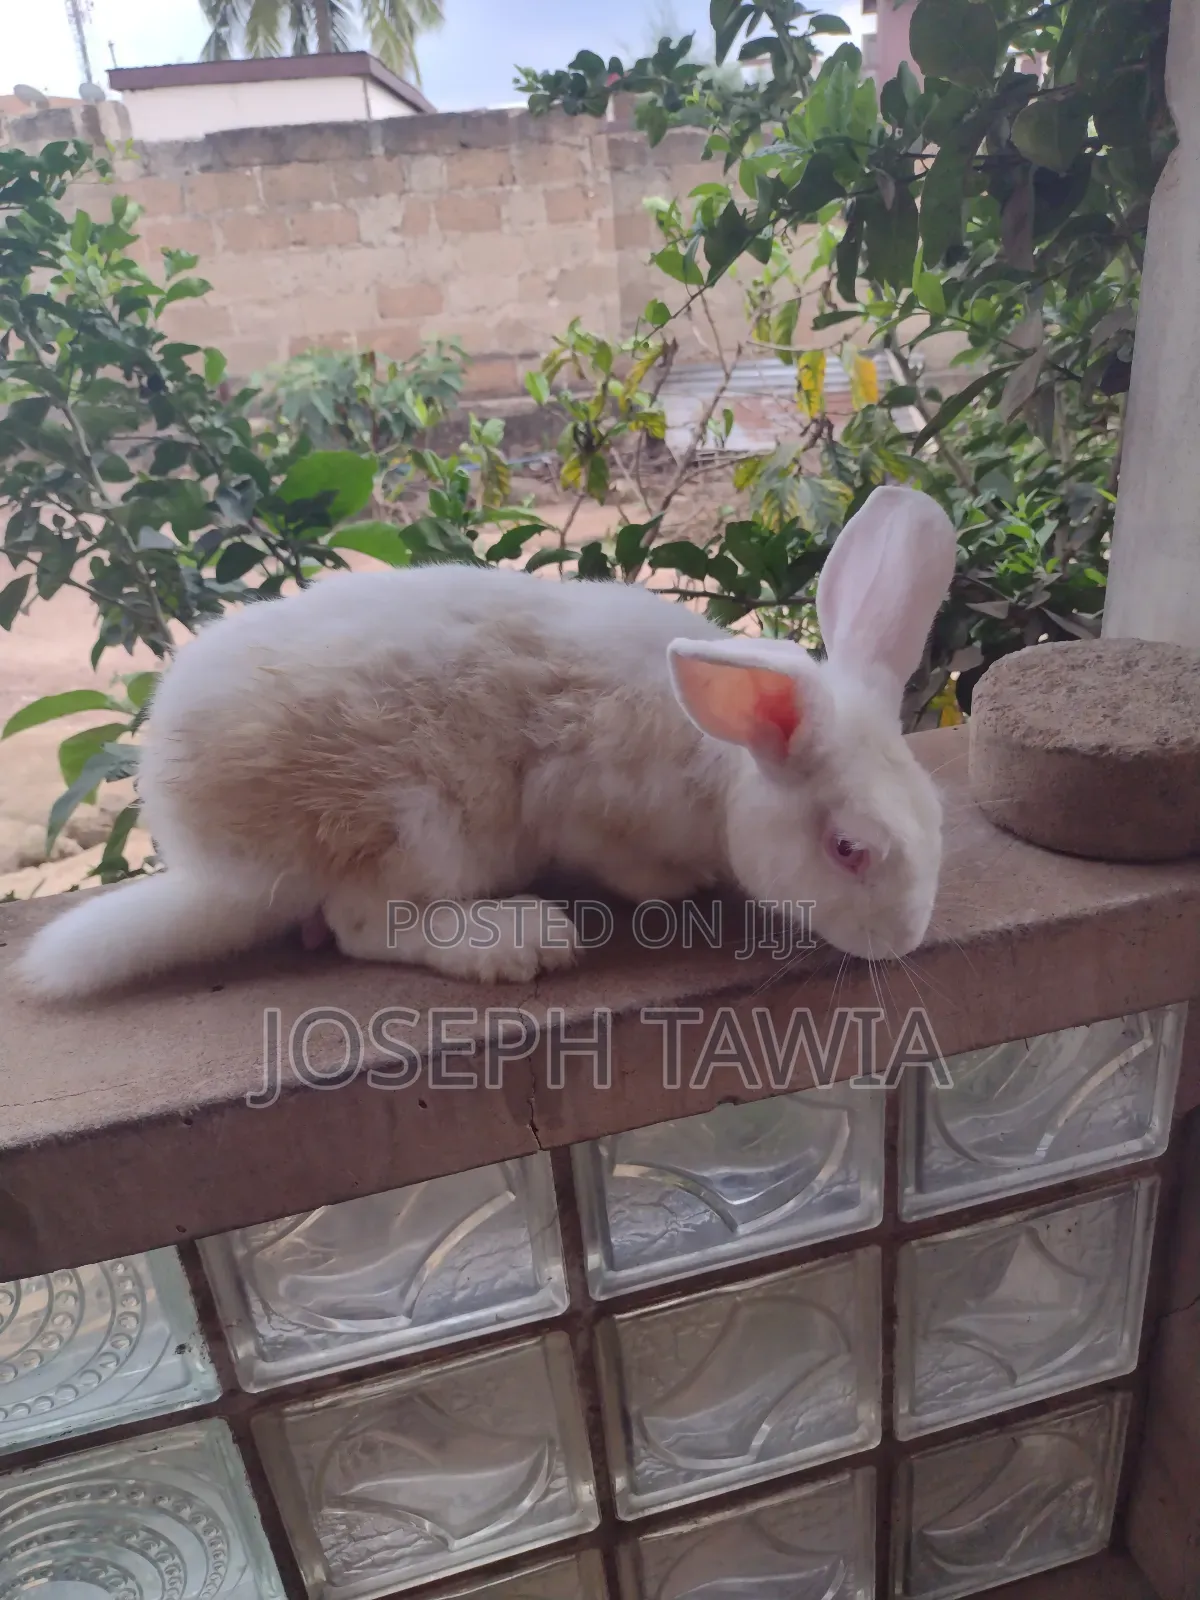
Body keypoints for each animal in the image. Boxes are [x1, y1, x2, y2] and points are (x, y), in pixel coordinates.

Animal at [15, 484, 958, 999]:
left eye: (935, 820)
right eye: (848, 849)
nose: (905, 941)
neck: (720, 766)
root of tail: (216, 866)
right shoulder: (587, 808)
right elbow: (630, 866)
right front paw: (679, 885)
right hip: (416, 825)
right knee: (362, 923)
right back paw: (517, 940)